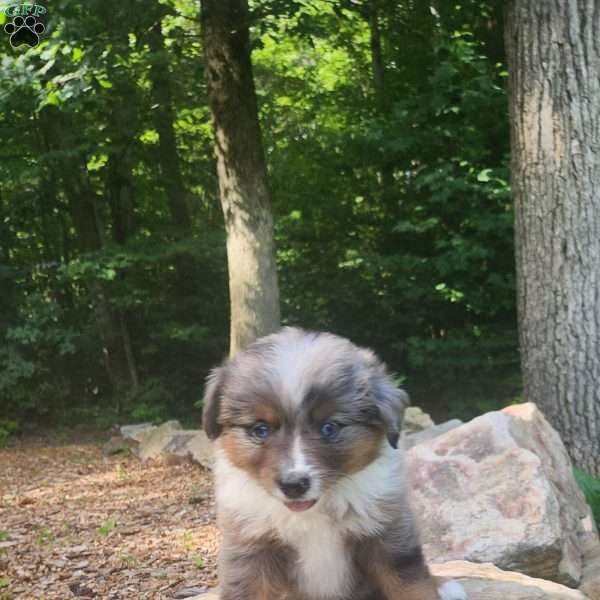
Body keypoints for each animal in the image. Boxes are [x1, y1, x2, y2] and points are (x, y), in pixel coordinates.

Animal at [204, 328, 466, 600]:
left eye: (329, 428)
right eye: (260, 430)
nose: (294, 485)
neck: (312, 513)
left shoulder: (387, 535)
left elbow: (410, 585)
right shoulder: (253, 547)